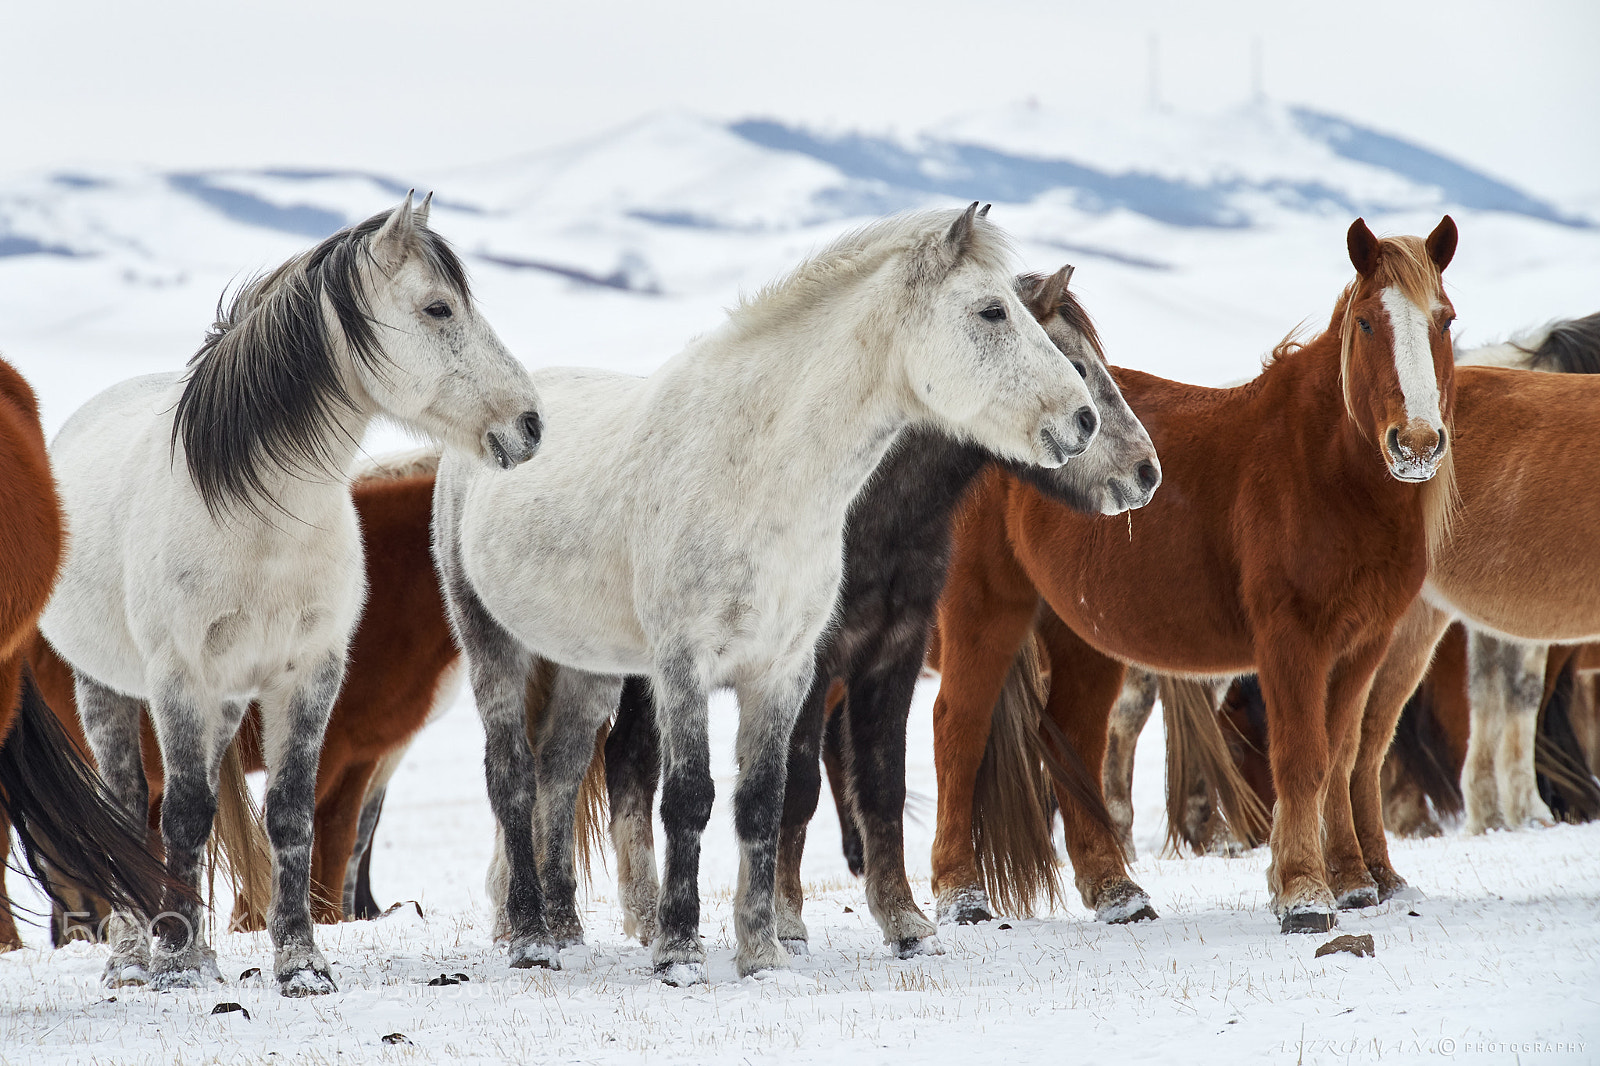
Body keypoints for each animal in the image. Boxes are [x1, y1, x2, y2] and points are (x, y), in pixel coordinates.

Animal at [434, 205, 1102, 983]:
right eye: (992, 311)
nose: (1082, 419)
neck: (758, 468)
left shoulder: (784, 671)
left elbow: (762, 802)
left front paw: (762, 953)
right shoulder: (684, 667)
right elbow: (689, 800)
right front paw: (679, 952)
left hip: (587, 668)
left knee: (558, 775)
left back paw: (565, 930)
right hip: (492, 644)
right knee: (512, 777)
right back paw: (532, 939)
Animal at [590, 266, 1161, 961]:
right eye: (1075, 365)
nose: (1146, 471)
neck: (867, 507)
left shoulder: (896, 653)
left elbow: (882, 786)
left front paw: (904, 920)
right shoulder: (809, 665)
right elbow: (797, 788)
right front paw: (786, 921)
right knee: (630, 764)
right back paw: (646, 916)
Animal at [930, 218, 1459, 934]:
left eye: (1444, 321)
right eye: (1368, 323)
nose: (1418, 443)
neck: (1322, 469)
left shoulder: (1362, 646)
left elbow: (1343, 756)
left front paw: (1351, 882)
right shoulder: (1292, 642)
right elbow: (1302, 758)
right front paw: (1304, 894)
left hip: (1079, 634)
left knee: (1073, 738)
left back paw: (1117, 893)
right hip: (985, 607)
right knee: (958, 728)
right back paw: (961, 894)